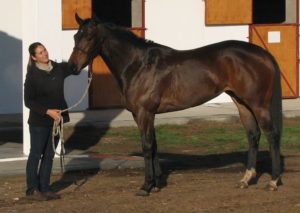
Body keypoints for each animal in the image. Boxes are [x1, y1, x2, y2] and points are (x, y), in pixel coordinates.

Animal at [68, 14, 284, 196]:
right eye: (75, 36)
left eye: (89, 37)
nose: (72, 67)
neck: (139, 65)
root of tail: (263, 54)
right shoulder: (144, 114)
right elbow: (154, 144)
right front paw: (157, 184)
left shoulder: (144, 112)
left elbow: (147, 146)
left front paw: (146, 186)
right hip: (242, 103)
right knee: (253, 135)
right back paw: (246, 179)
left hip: (259, 105)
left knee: (272, 135)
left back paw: (273, 181)